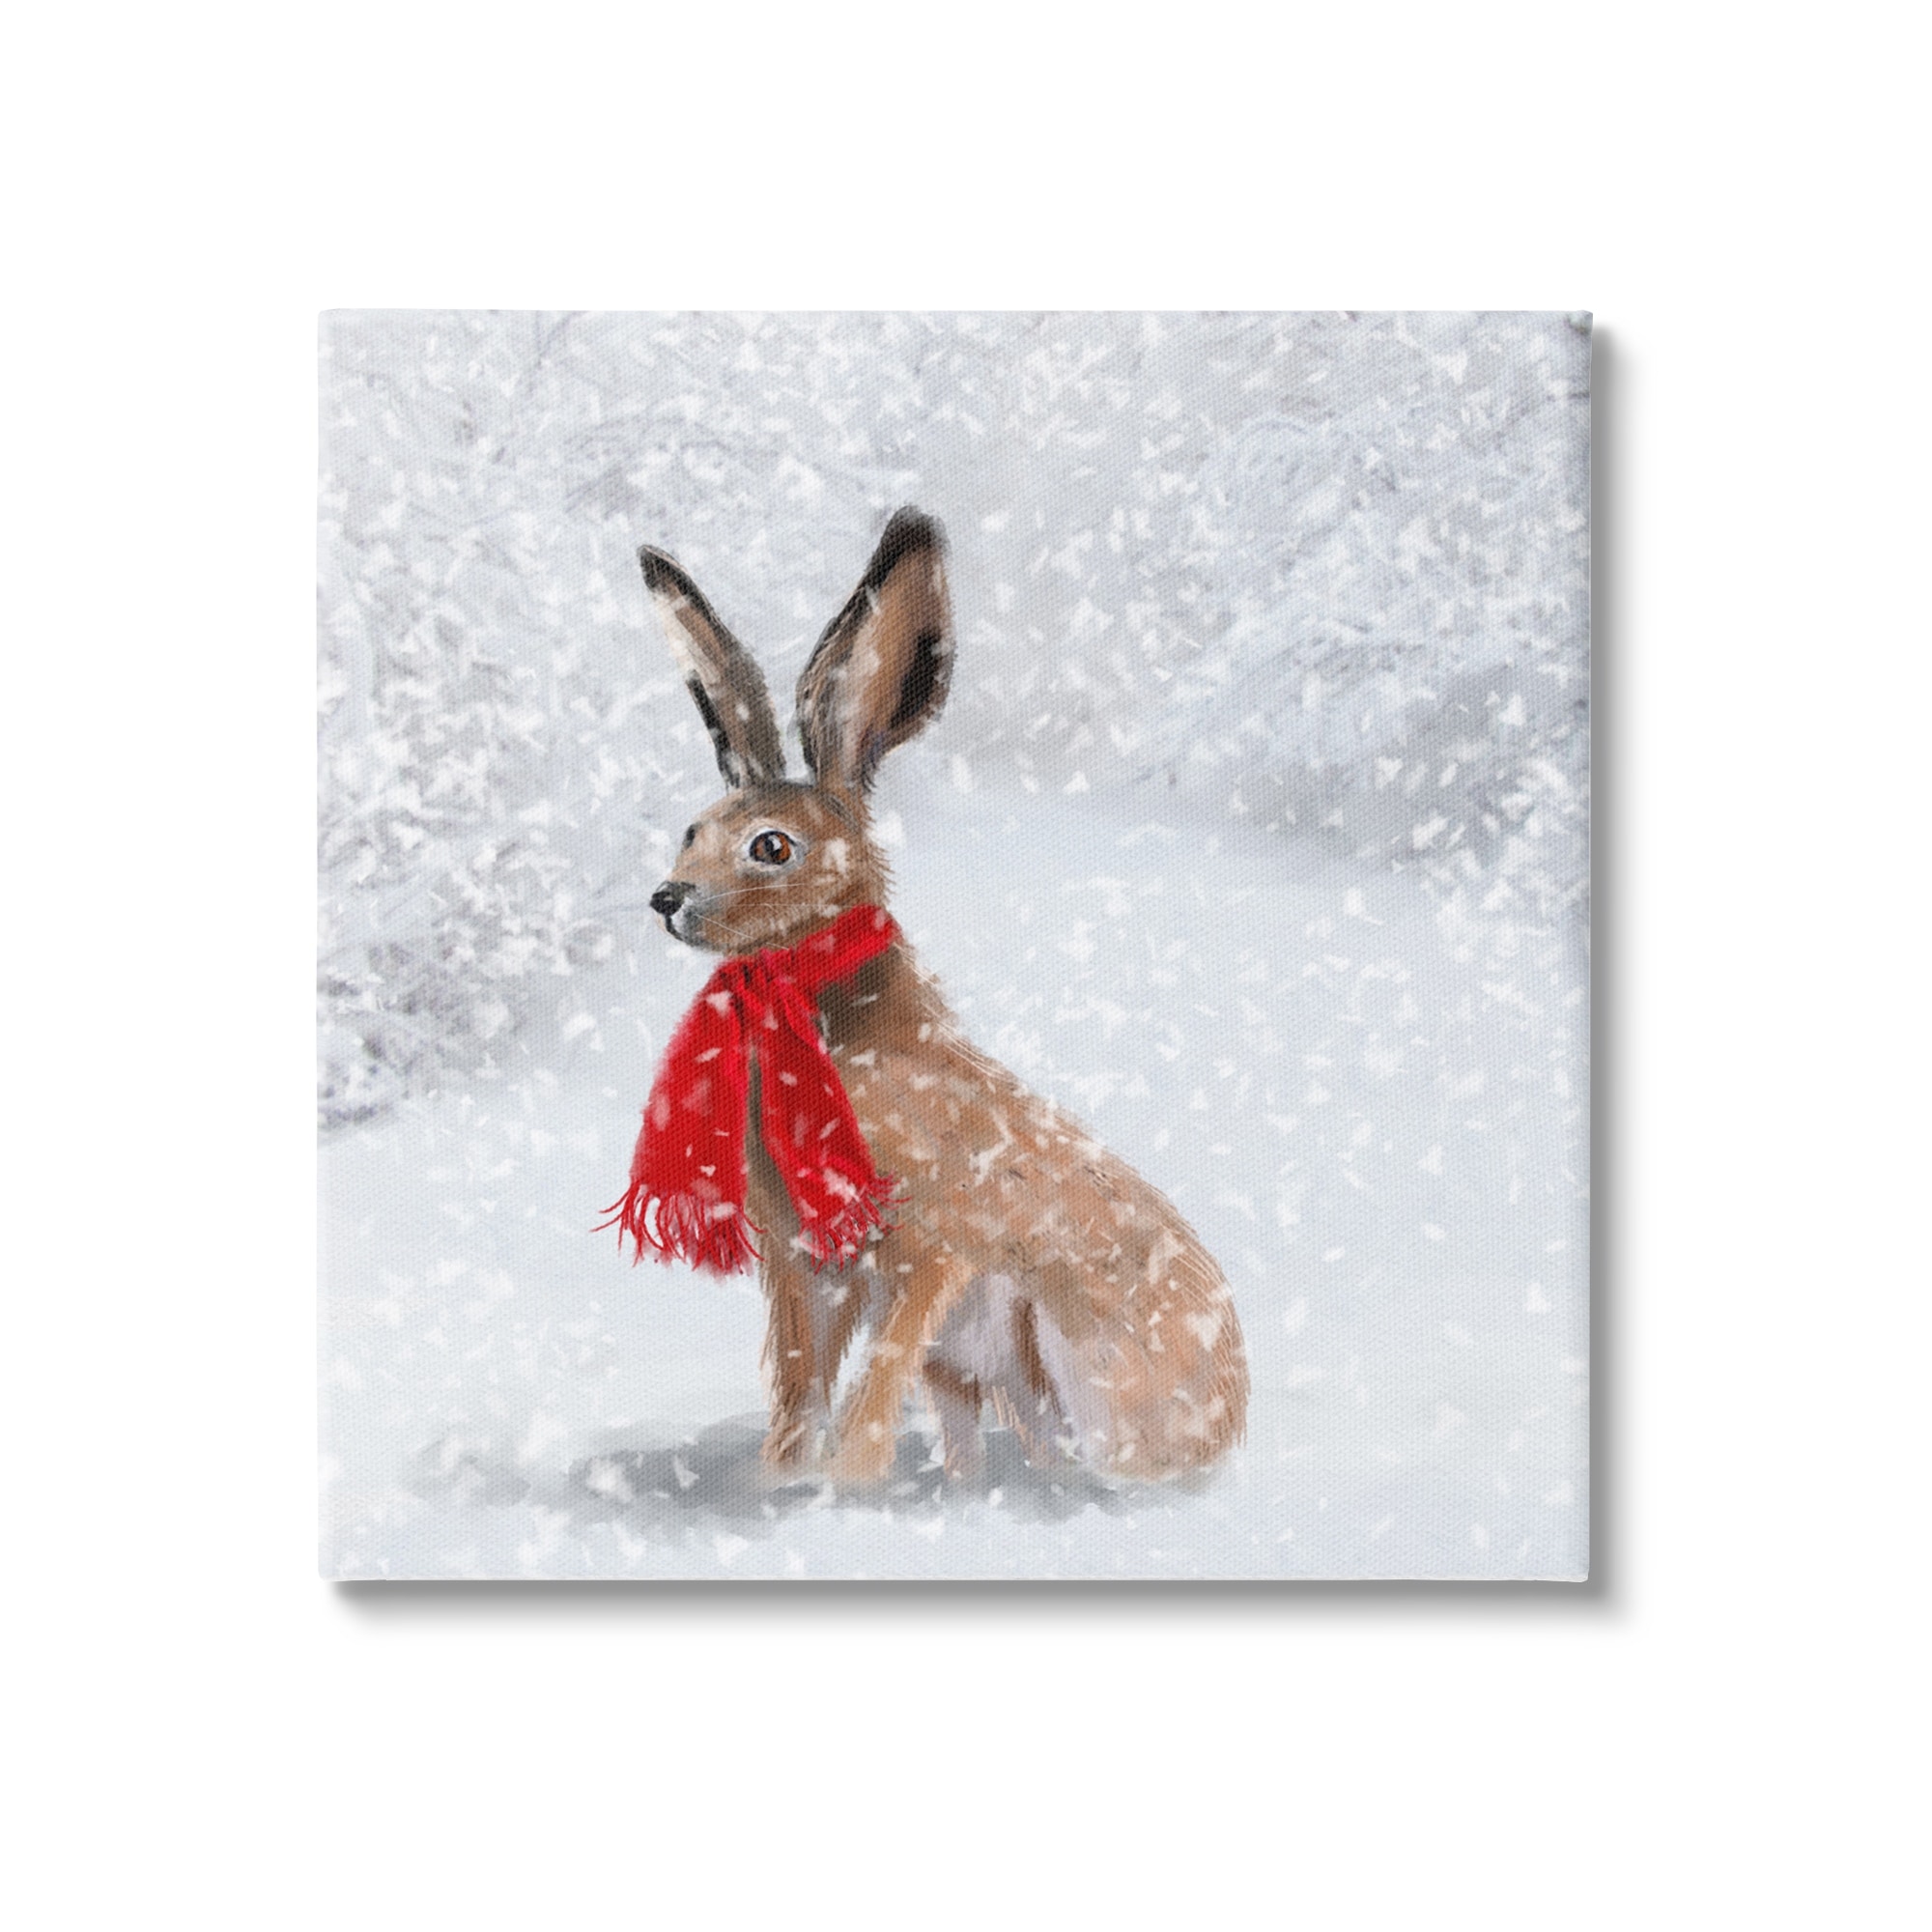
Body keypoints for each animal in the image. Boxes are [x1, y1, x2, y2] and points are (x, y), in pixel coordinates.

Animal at [631, 507, 1248, 1486]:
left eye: (771, 847)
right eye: (692, 830)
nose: (667, 897)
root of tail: (1231, 1426)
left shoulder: (930, 1251)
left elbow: (872, 1385)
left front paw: (842, 1486)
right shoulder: (804, 1270)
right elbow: (799, 1385)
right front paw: (782, 1480)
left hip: (1057, 1347)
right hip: (976, 1375)